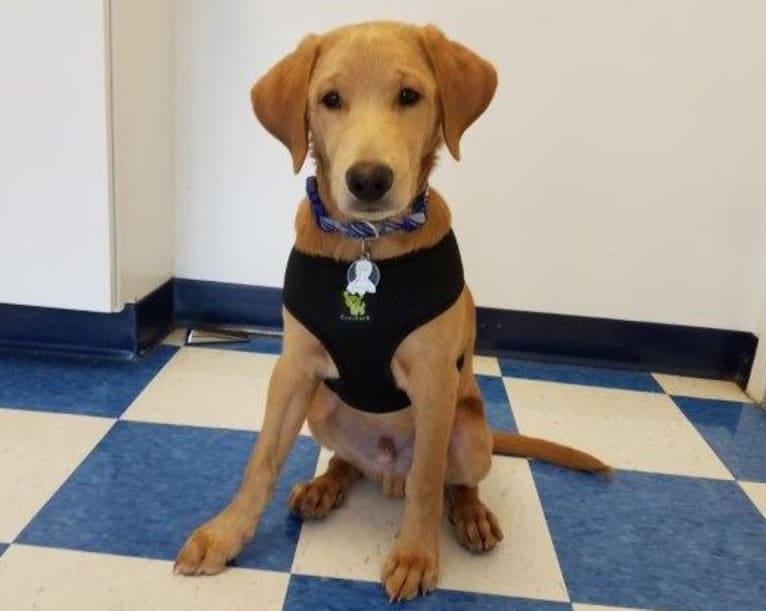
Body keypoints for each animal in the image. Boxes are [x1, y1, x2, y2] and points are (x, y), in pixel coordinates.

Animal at [176, 20, 612, 604]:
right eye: (330, 100)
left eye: (409, 96)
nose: (367, 180)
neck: (369, 242)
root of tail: (388, 473)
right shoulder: (293, 370)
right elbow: (262, 459)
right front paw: (224, 535)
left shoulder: (433, 381)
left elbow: (428, 481)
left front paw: (415, 556)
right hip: (323, 407)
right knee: (349, 462)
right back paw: (325, 485)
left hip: (468, 430)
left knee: (452, 480)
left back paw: (470, 514)